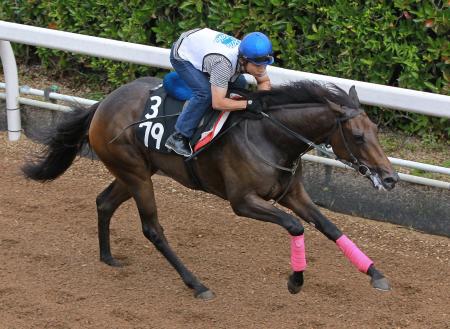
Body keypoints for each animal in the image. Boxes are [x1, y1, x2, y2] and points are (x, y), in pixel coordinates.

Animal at [22, 78, 400, 298]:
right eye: (357, 136)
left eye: (376, 131)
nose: (391, 178)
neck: (270, 136)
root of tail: (102, 105)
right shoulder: (242, 202)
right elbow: (294, 226)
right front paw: (295, 281)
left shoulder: (292, 194)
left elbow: (329, 227)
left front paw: (376, 273)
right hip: (137, 175)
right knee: (152, 228)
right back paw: (197, 284)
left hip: (136, 172)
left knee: (104, 202)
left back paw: (108, 257)